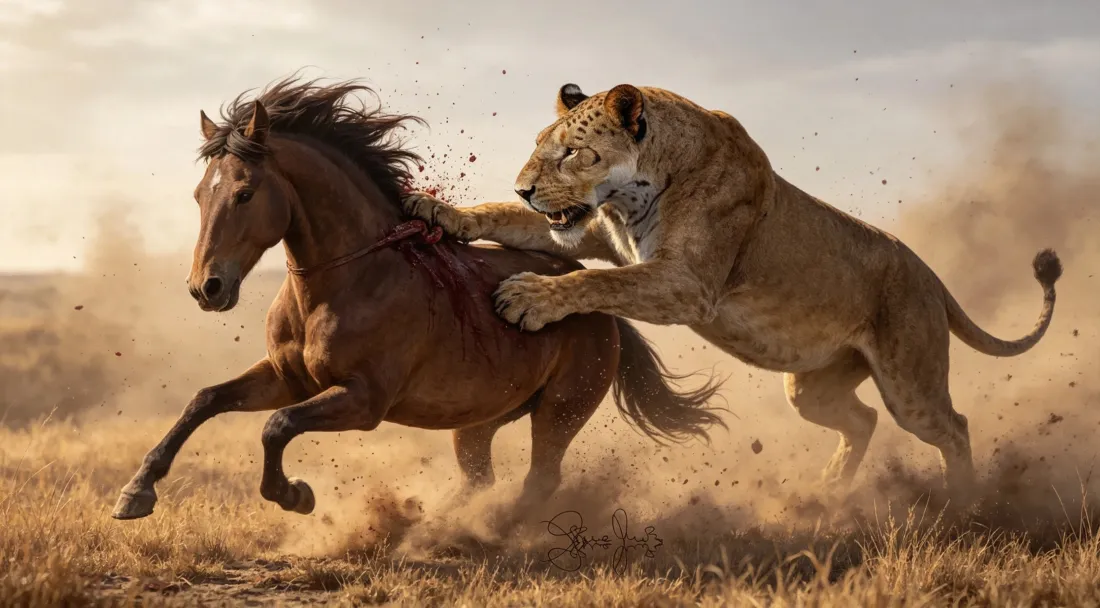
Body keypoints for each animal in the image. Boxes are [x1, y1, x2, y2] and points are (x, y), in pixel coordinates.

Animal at [111, 77, 726, 521]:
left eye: (244, 192)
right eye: (200, 194)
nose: (206, 288)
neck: (347, 281)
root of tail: (602, 312)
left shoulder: (362, 402)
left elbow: (276, 427)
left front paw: (294, 495)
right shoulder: (288, 378)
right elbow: (205, 401)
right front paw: (135, 494)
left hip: (559, 411)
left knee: (540, 479)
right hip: (477, 422)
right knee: (481, 478)